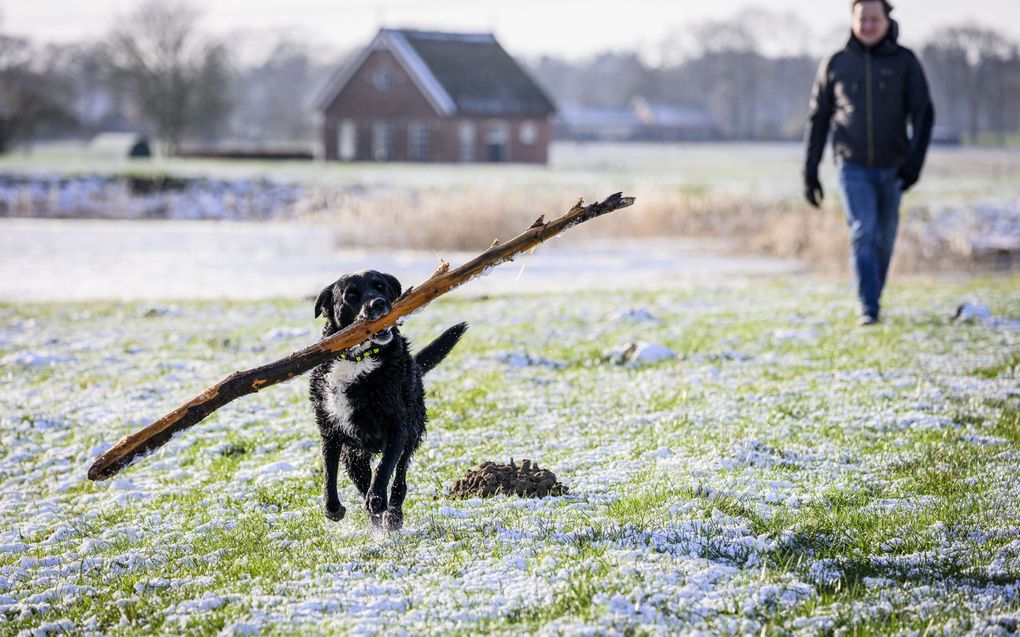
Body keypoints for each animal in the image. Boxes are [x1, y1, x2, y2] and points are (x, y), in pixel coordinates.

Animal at [306, 271, 467, 529]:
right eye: (351, 295)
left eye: (380, 287)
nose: (378, 303)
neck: (359, 358)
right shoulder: (330, 430)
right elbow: (329, 472)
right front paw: (333, 509)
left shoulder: (397, 427)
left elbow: (384, 467)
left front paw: (378, 499)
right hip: (354, 455)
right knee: (361, 479)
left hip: (412, 434)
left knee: (400, 477)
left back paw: (392, 514)